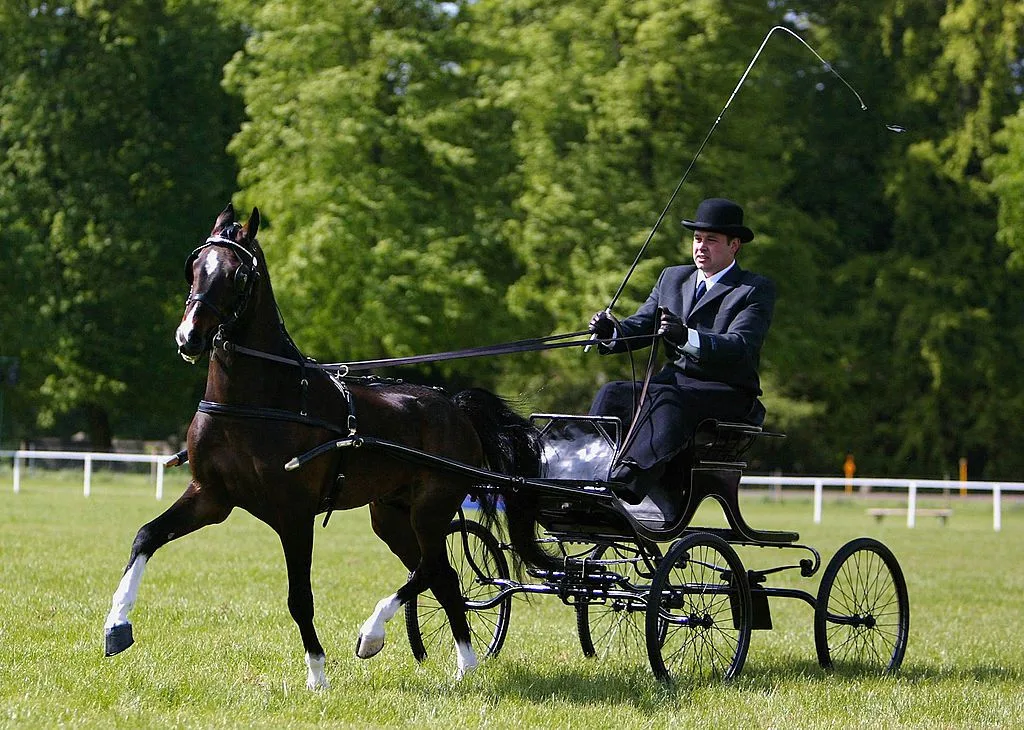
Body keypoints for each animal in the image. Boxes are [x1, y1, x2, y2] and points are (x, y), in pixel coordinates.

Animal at [103, 203, 550, 689]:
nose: (189, 337)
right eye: (195, 267)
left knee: (432, 568)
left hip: (432, 508)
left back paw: (374, 634)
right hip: (392, 515)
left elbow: (300, 596)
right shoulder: (211, 497)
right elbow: (146, 536)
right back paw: (464, 668)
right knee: (443, 576)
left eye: (238, 275)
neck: (255, 402)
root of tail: (455, 407)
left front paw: (317, 674)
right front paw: (116, 624)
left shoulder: (294, 512)